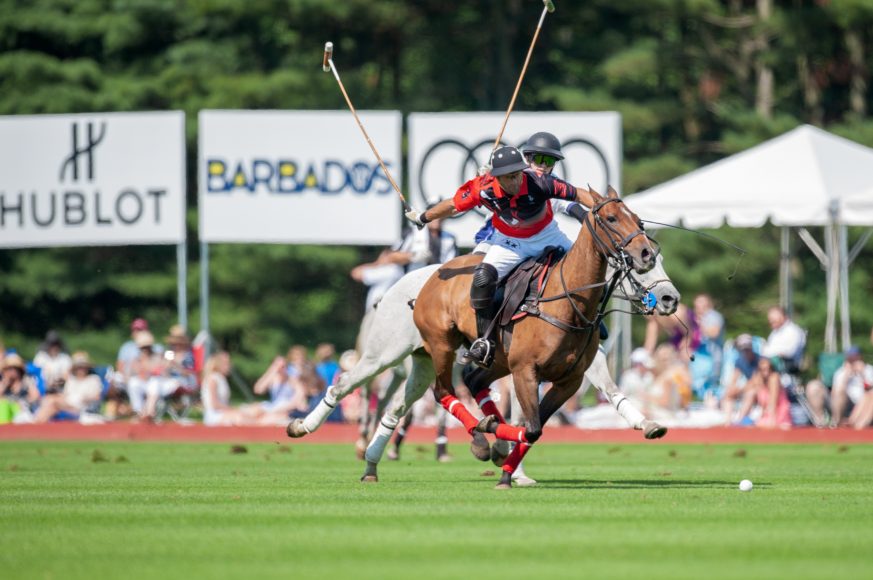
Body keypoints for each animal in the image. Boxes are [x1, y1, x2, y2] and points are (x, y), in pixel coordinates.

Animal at [290, 254, 676, 466]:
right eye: (641, 267)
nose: (671, 299)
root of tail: (393, 289)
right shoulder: (528, 366)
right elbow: (524, 410)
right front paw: (512, 458)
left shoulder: (573, 361)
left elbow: (609, 389)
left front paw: (648, 424)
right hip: (384, 353)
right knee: (347, 385)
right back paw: (304, 427)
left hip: (422, 361)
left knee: (399, 405)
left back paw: (375, 454)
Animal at [414, 188, 656, 488]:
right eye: (611, 218)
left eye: (637, 219)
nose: (647, 254)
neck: (568, 303)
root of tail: (436, 273)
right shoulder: (525, 371)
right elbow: (530, 428)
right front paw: (503, 460)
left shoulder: (569, 382)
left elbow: (535, 428)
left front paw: (506, 470)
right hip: (441, 344)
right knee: (443, 391)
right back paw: (483, 436)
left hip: (499, 359)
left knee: (473, 380)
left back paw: (491, 440)